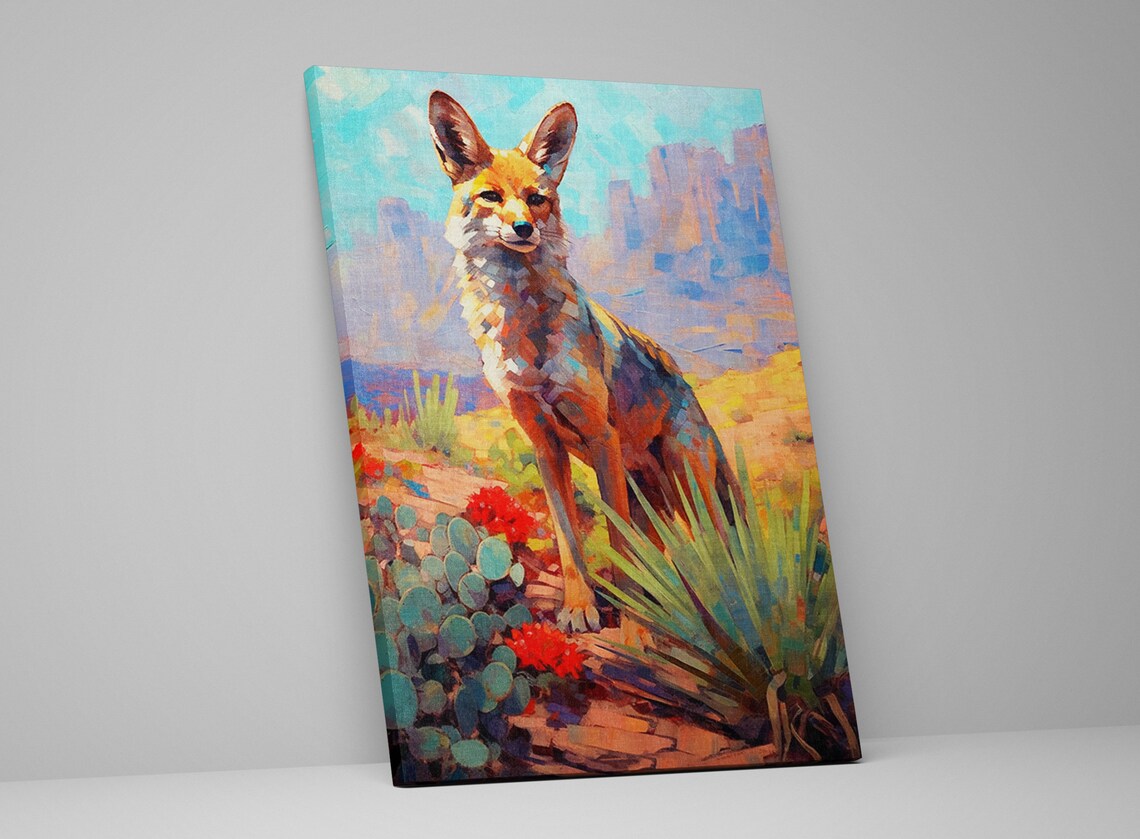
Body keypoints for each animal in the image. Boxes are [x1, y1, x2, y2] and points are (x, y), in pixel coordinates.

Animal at [428, 91, 743, 632]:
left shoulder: (600, 436)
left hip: (690, 490)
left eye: (537, 198)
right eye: (491, 196)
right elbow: (570, 541)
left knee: (712, 551)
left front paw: (634, 629)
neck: (527, 342)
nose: (523, 228)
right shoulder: (545, 445)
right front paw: (580, 608)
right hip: (650, 498)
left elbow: (620, 548)